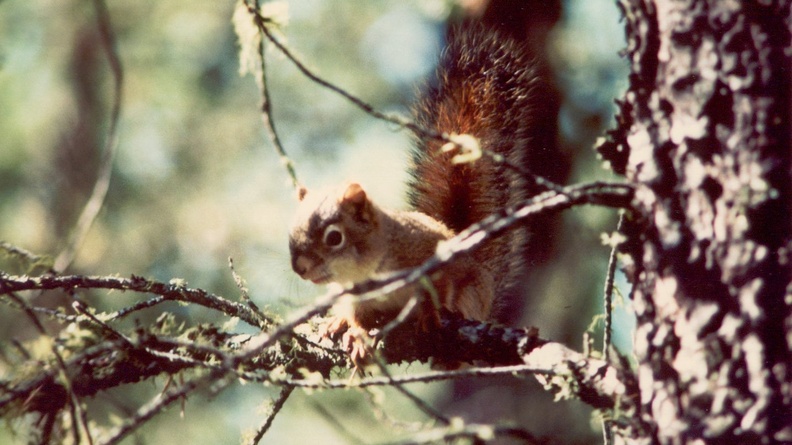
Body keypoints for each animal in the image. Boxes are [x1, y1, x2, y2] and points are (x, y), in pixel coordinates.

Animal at [289, 24, 542, 363]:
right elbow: (356, 314)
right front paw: (355, 331)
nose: (300, 268)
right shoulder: (352, 294)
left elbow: (439, 288)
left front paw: (432, 314)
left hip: (474, 293)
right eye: (290, 231)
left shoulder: (429, 256)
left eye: (334, 237)